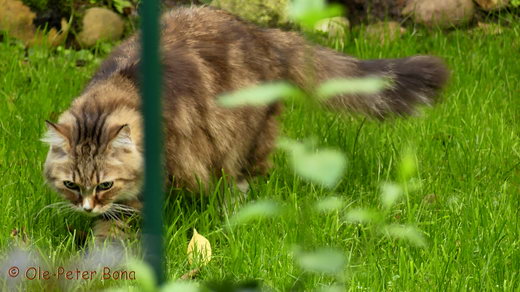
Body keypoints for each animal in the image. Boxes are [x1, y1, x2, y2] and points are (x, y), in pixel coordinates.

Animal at [40, 6, 448, 240]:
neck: (117, 94)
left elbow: (122, 219)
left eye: (105, 184)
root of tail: (263, 33)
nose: (86, 207)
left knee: (248, 173)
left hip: (244, 138)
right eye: (71, 185)